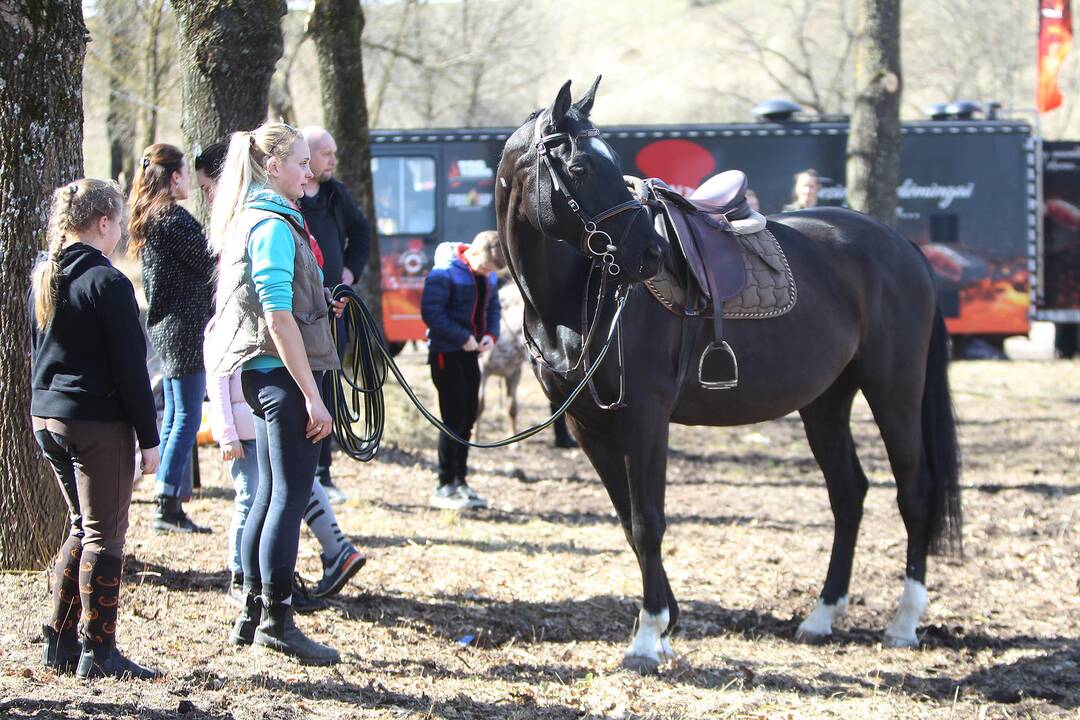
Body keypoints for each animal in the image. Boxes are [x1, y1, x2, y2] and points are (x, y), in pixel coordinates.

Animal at [494, 76, 959, 673]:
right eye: (578, 167)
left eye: (611, 160)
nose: (652, 252)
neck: (578, 296)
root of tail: (903, 247)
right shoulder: (586, 425)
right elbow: (626, 520)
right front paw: (665, 625)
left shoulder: (645, 419)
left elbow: (648, 521)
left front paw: (648, 636)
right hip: (826, 401)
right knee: (848, 493)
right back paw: (822, 616)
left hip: (894, 390)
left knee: (914, 492)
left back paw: (903, 623)